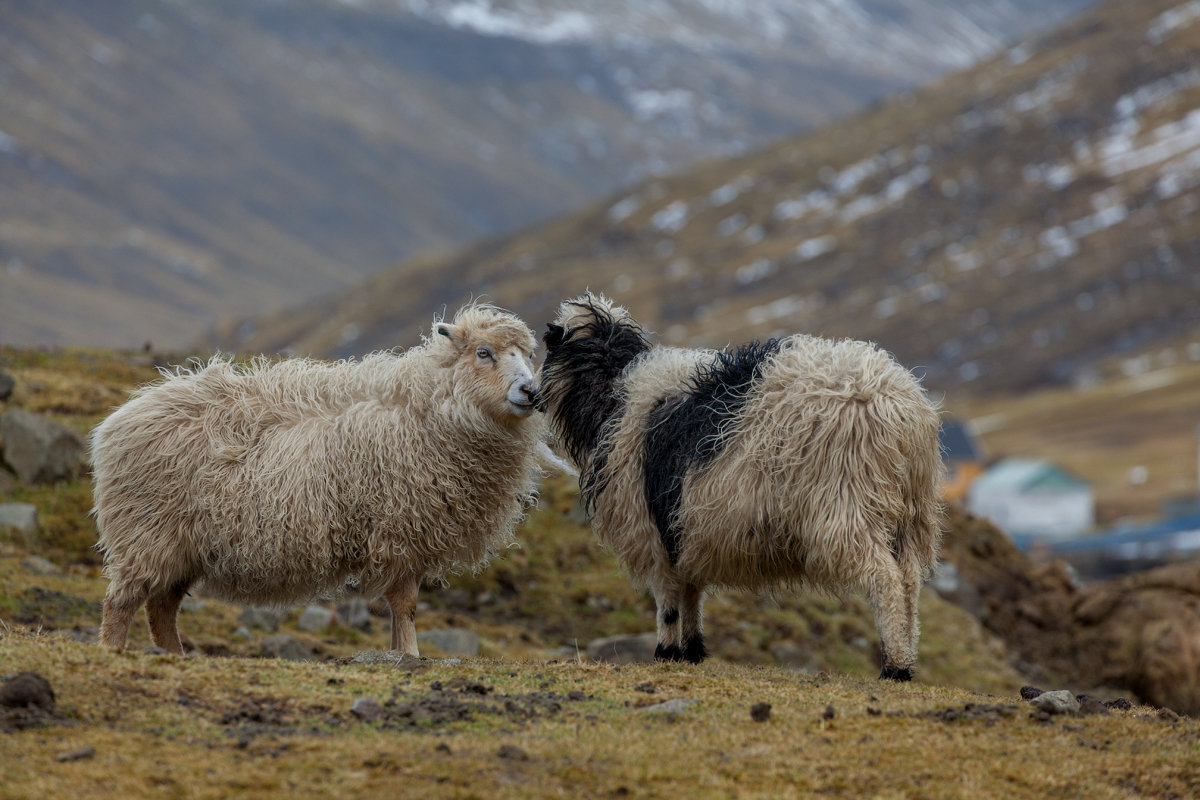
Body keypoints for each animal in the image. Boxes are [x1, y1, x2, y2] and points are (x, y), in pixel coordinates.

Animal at [91, 303, 543, 656]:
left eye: (528, 354)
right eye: (484, 353)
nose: (530, 391)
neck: (427, 409)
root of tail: (118, 421)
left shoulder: (406, 535)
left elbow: (402, 606)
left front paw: (399, 653)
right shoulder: (399, 530)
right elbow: (406, 604)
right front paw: (411, 654)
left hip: (181, 546)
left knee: (161, 609)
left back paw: (174, 655)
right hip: (145, 534)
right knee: (121, 602)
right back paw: (112, 651)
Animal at [535, 294, 943, 680]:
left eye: (549, 347)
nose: (532, 397)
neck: (612, 394)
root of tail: (897, 409)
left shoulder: (654, 531)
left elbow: (667, 600)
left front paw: (666, 652)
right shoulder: (685, 528)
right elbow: (691, 593)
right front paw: (692, 651)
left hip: (845, 505)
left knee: (884, 579)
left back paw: (893, 667)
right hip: (909, 513)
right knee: (909, 584)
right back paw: (907, 658)